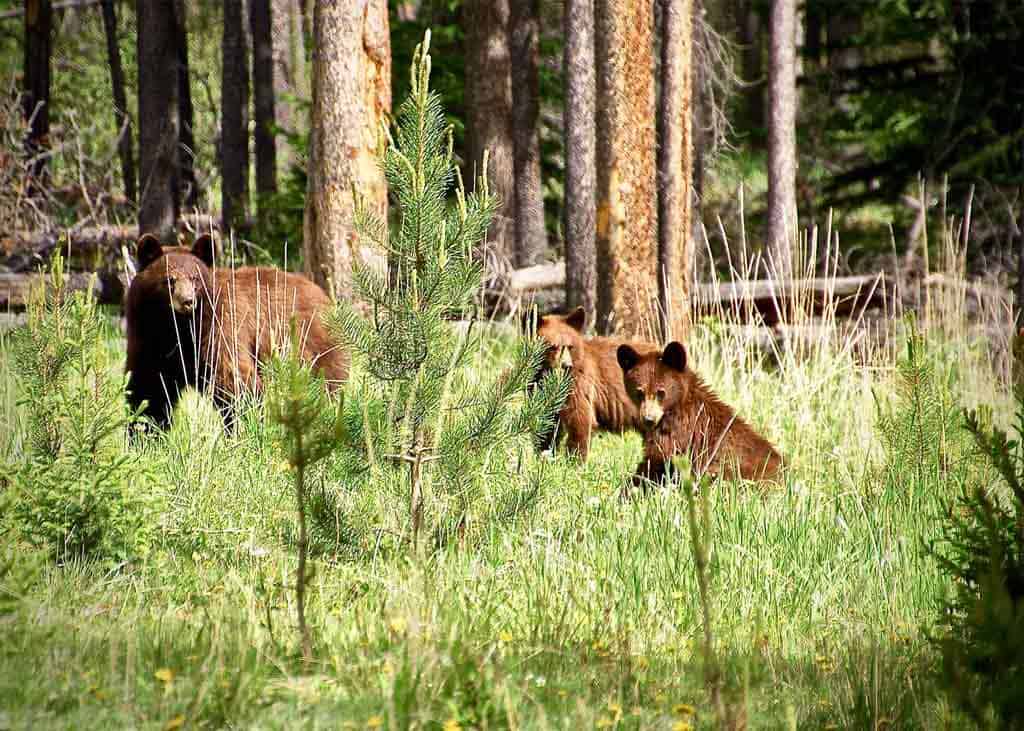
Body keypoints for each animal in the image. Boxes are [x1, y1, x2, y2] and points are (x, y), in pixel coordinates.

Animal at [124, 233, 348, 429]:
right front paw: (143, 431)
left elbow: (233, 379)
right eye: (169, 279)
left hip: (311, 345)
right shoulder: (147, 336)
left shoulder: (220, 325)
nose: (188, 301)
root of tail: (322, 294)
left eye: (195, 278)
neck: (176, 327)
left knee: (326, 382)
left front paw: (244, 424)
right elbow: (149, 389)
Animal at [528, 306, 654, 459]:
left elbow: (580, 420)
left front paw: (573, 460)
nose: (566, 365)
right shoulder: (537, 388)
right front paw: (543, 455)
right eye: (552, 346)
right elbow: (546, 425)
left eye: (570, 346)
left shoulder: (580, 385)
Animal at [616, 341, 783, 490]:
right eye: (639, 392)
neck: (679, 403)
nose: (649, 419)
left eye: (660, 392)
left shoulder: (679, 431)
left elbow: (655, 460)